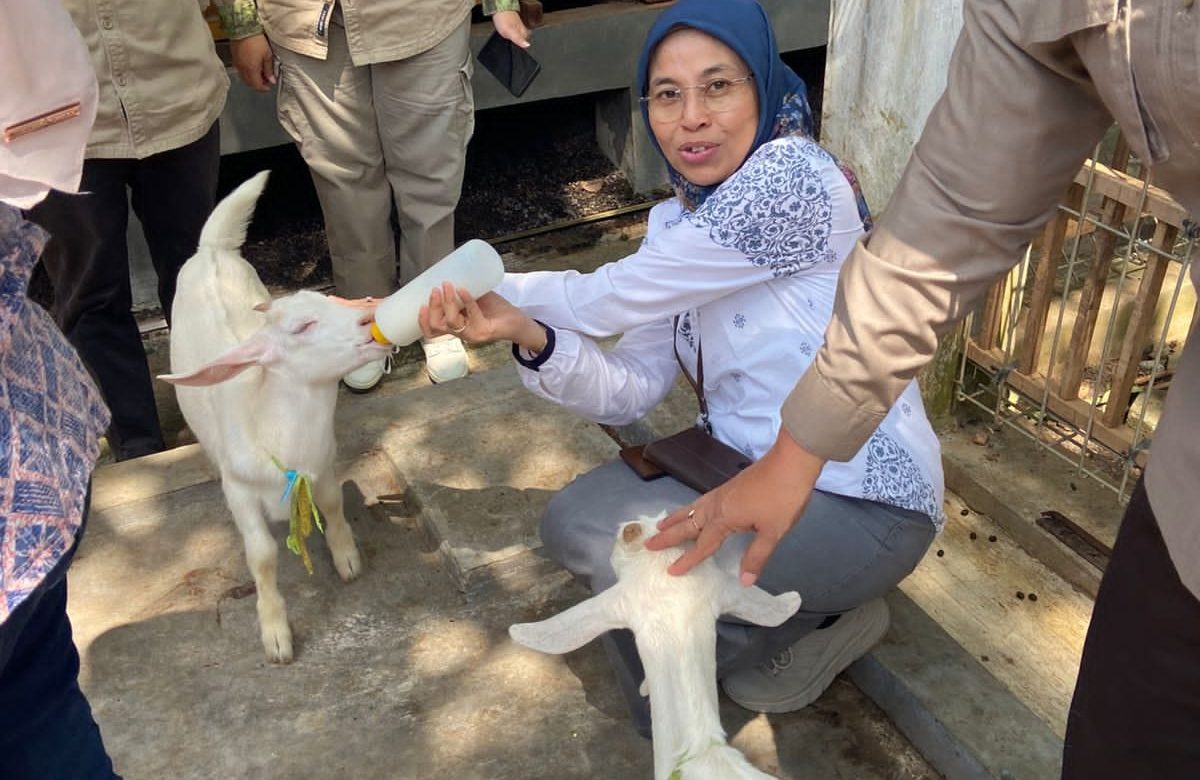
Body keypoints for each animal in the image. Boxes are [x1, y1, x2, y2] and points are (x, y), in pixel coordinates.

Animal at [160, 171, 393, 663]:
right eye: (302, 327)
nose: (370, 317)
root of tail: (211, 250)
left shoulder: (323, 461)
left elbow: (331, 503)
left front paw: (347, 559)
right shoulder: (241, 491)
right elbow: (262, 556)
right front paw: (276, 635)